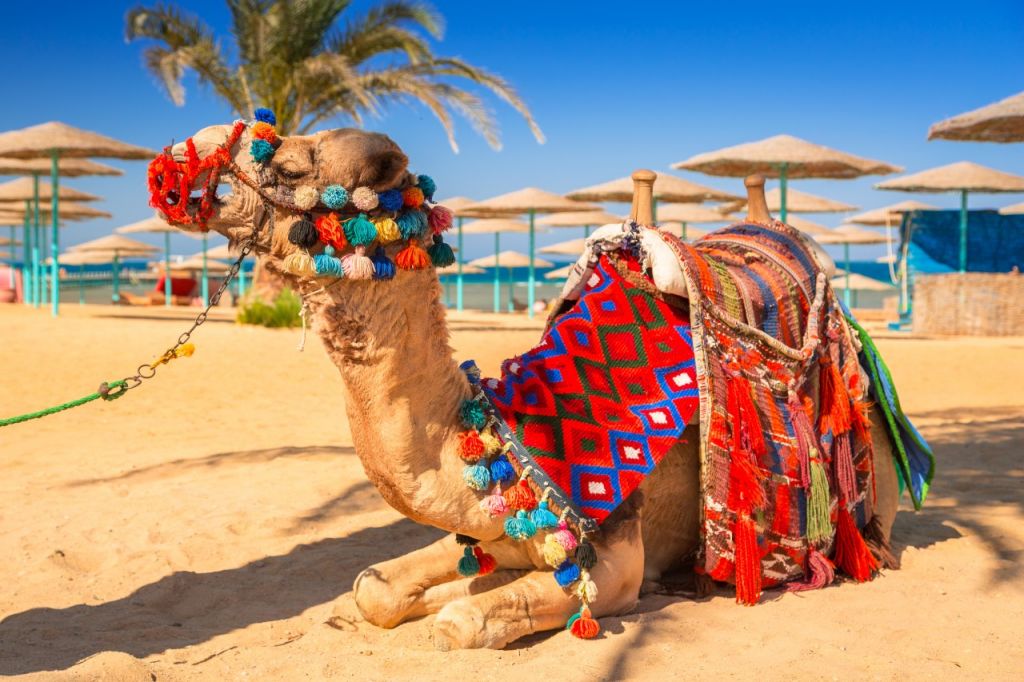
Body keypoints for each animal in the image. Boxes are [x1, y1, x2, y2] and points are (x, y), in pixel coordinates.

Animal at [154, 121, 902, 650]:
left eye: (286, 164)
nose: (180, 162)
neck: (511, 435)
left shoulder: (617, 560)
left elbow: (462, 621)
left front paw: (457, 606)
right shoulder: (487, 526)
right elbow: (376, 589)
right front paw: (422, 594)